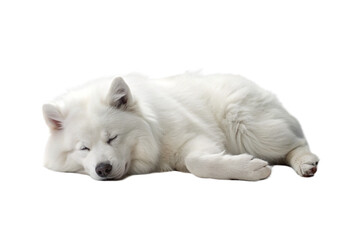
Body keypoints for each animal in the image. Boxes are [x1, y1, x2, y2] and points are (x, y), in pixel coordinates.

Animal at [43, 74, 318, 181]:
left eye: (113, 138)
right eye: (84, 148)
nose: (103, 169)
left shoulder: (197, 137)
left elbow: (195, 162)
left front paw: (247, 169)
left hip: (246, 123)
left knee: (297, 143)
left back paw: (305, 163)